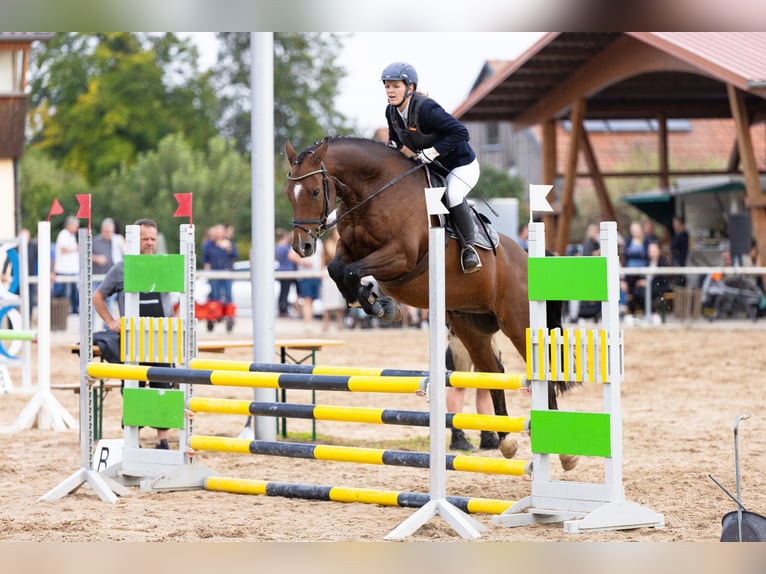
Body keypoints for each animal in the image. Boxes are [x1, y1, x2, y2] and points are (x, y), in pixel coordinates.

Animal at [284, 137, 580, 470]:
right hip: (470, 326)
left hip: (519, 322)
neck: (375, 190)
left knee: (543, 369)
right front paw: (373, 303)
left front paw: (380, 305)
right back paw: (506, 442)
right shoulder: (349, 250)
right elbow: (338, 270)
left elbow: (351, 271)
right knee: (493, 370)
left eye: (315, 191)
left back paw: (565, 453)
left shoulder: (400, 256)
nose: (302, 246)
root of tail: (528, 257)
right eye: (289, 193)